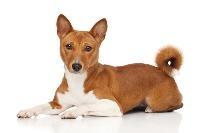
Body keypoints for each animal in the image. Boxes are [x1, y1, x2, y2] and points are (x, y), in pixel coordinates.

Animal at [17, 14, 183, 118]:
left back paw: (149, 108)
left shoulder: (113, 105)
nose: (76, 66)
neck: (78, 81)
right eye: (68, 46)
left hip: (157, 101)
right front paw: (27, 111)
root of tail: (163, 71)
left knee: (177, 104)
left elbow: (85, 105)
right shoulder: (58, 104)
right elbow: (40, 106)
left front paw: (72, 112)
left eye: (88, 48)